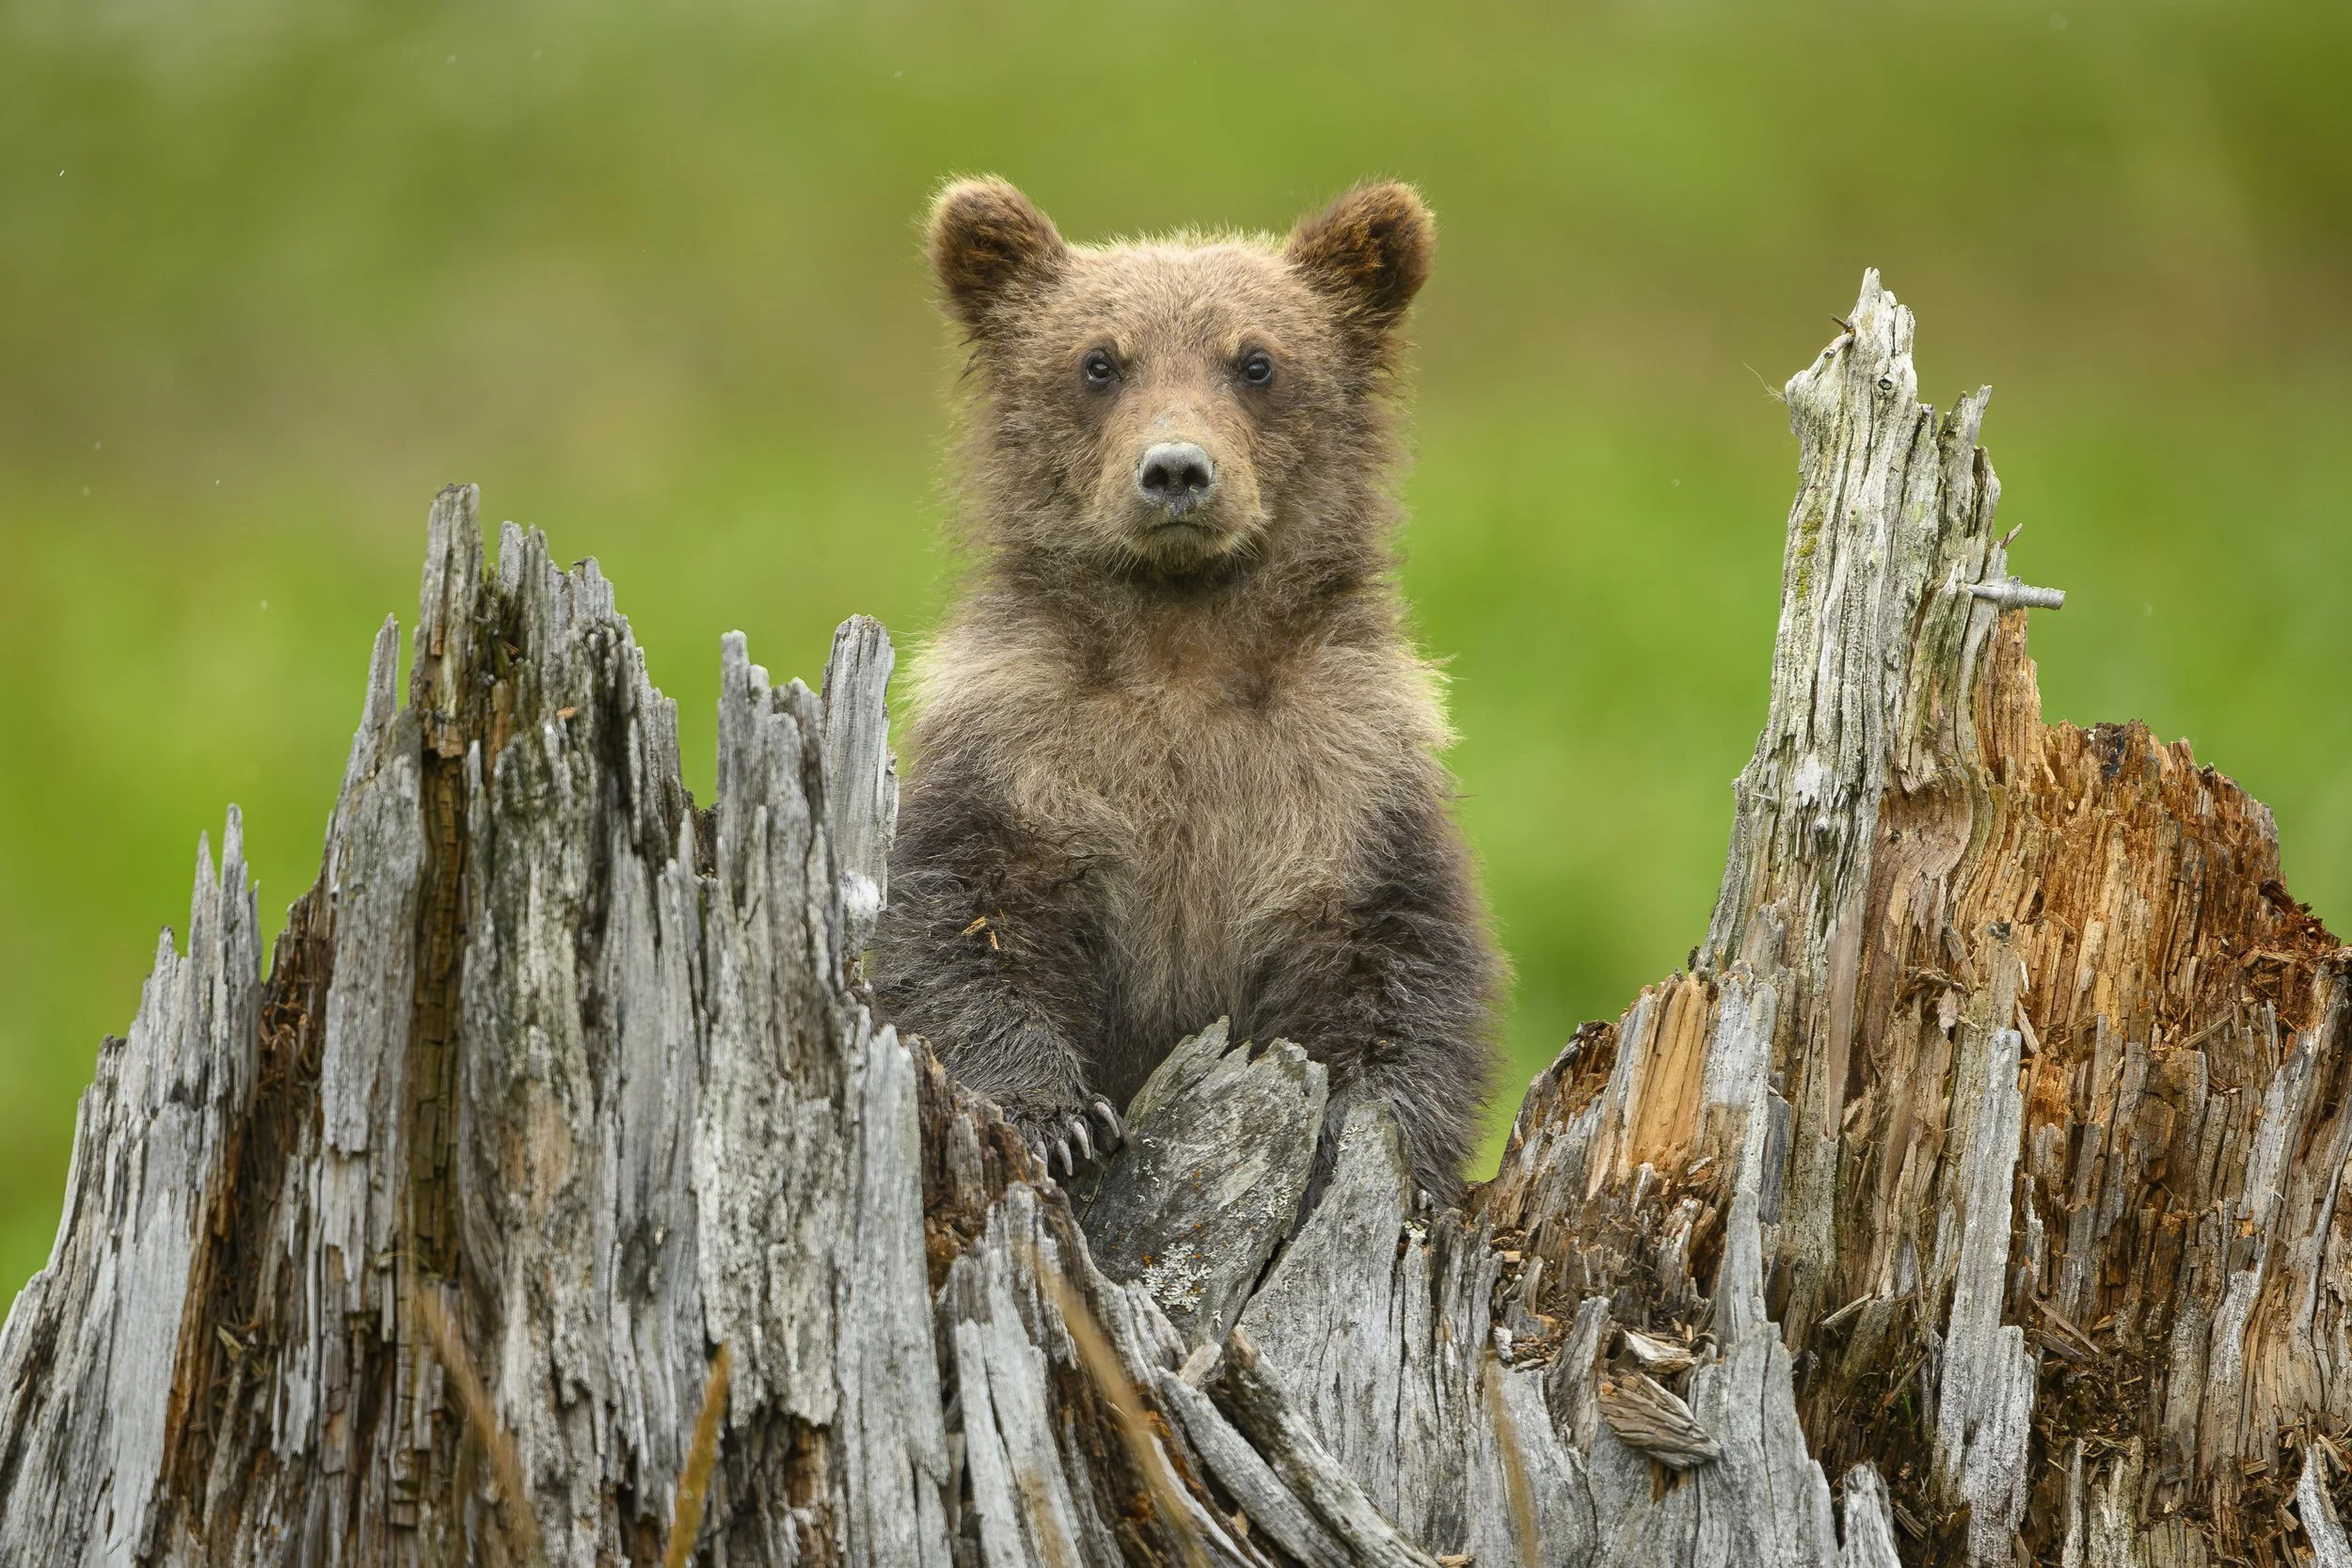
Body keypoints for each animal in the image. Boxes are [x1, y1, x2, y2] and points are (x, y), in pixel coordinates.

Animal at [870, 176, 1504, 1203]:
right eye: (1098, 360)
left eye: (1256, 360)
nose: (1175, 468)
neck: (1182, 650)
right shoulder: (1021, 742)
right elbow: (962, 927)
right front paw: (1058, 1118)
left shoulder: (1348, 773)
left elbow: (1402, 965)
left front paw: (1391, 1152)